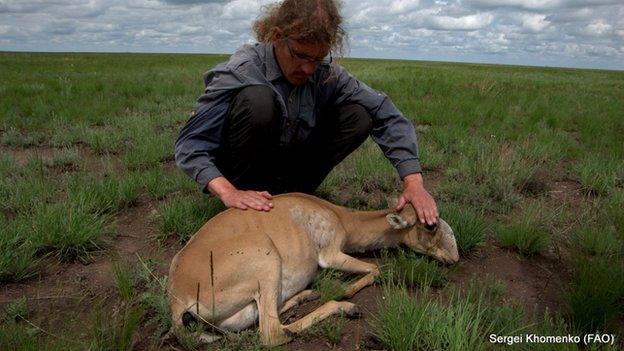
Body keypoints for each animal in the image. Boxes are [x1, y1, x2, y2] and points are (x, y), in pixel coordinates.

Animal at [167, 192, 458, 346]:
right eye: (430, 225)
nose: (454, 258)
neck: (338, 215)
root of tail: (178, 297)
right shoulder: (331, 254)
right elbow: (375, 268)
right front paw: (347, 292)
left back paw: (307, 296)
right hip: (267, 261)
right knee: (273, 332)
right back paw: (344, 306)